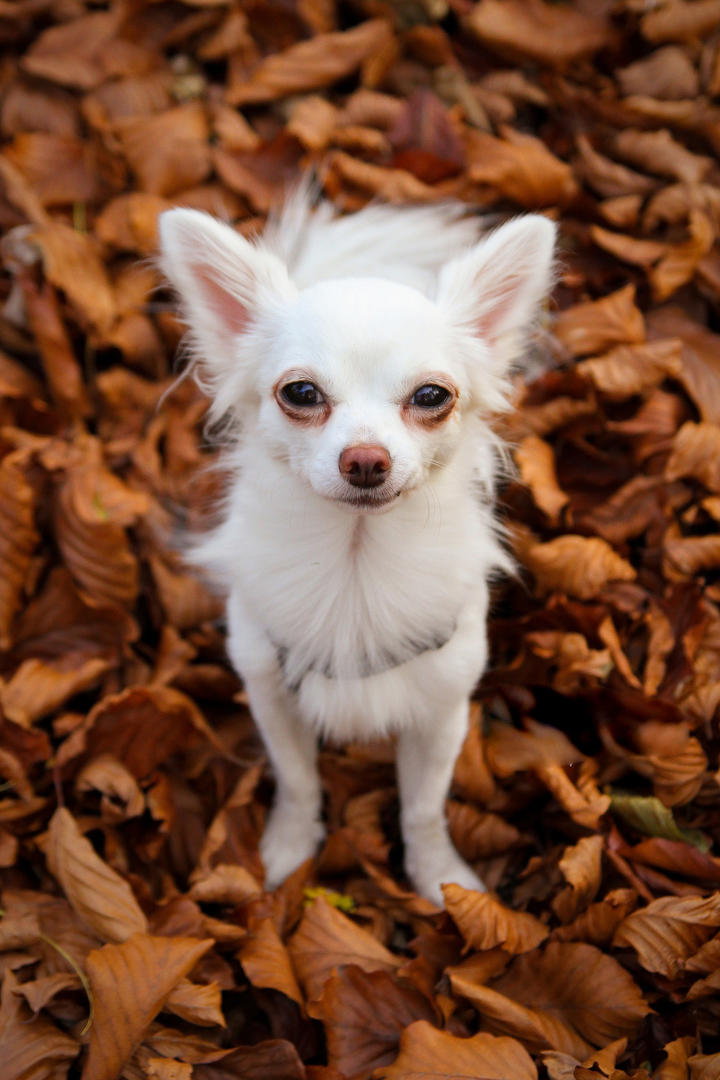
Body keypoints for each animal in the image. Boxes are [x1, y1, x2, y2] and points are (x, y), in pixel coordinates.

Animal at [160, 187, 557, 902]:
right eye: (300, 393)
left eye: (432, 395)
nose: (366, 459)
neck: (355, 563)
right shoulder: (271, 693)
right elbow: (297, 782)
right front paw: (286, 851)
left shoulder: (441, 712)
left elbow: (423, 808)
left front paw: (441, 880)